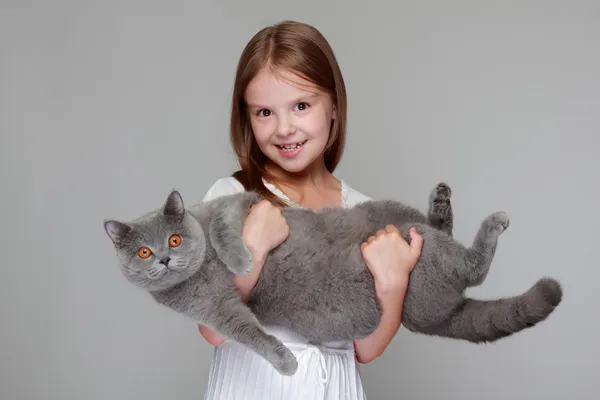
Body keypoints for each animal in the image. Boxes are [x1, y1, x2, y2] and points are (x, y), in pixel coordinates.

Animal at [102, 183, 564, 376]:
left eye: (174, 238)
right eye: (143, 252)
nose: (165, 260)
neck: (203, 267)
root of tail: (437, 317)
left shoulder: (239, 203)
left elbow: (223, 226)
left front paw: (240, 259)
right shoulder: (214, 310)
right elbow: (248, 333)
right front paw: (284, 362)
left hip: (394, 216)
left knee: (451, 242)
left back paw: (445, 201)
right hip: (422, 264)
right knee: (472, 268)